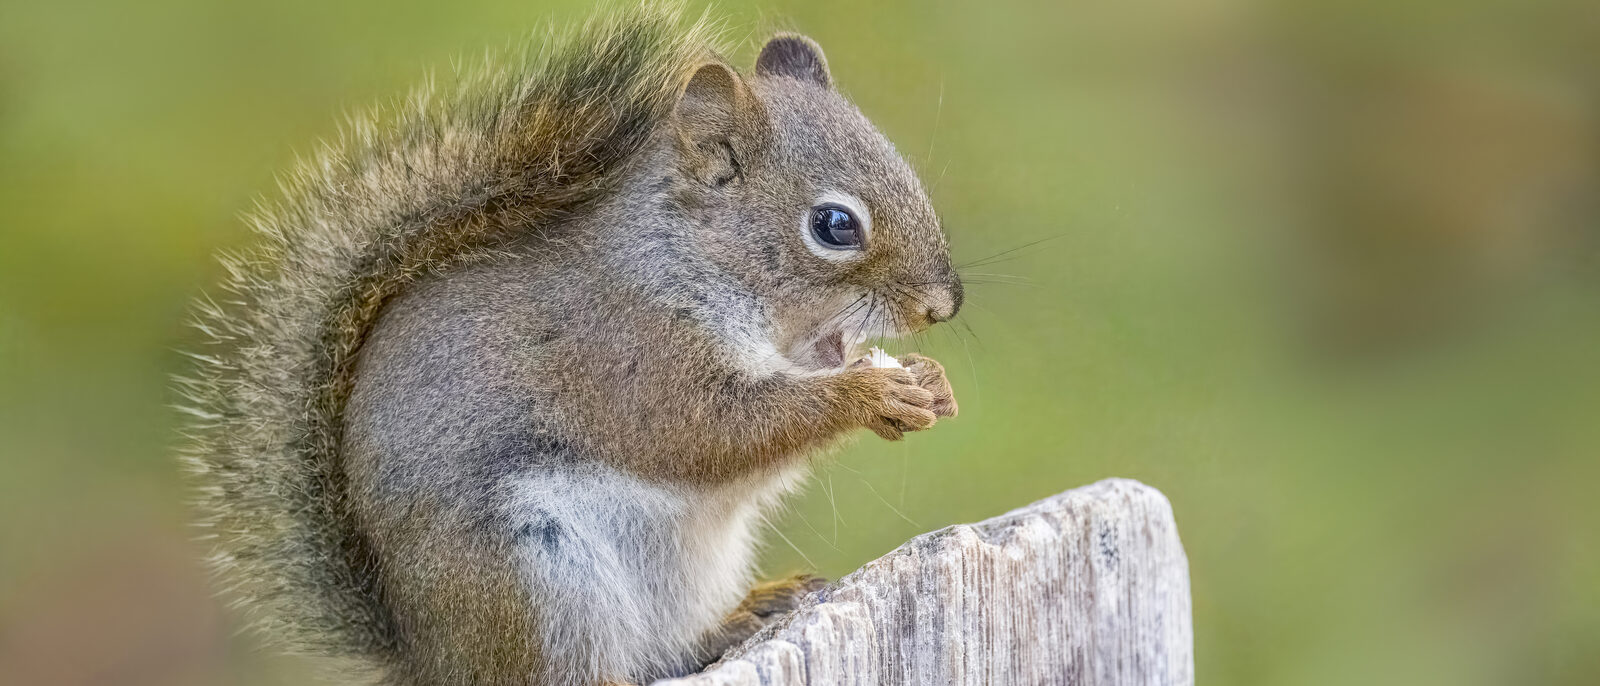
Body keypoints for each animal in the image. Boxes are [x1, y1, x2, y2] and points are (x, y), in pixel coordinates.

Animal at [178, 5, 962, 686]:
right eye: (835, 225)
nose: (944, 304)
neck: (691, 260)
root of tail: (431, 659)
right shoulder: (626, 350)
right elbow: (710, 432)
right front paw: (869, 392)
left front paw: (927, 382)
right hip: (532, 578)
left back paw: (744, 613)